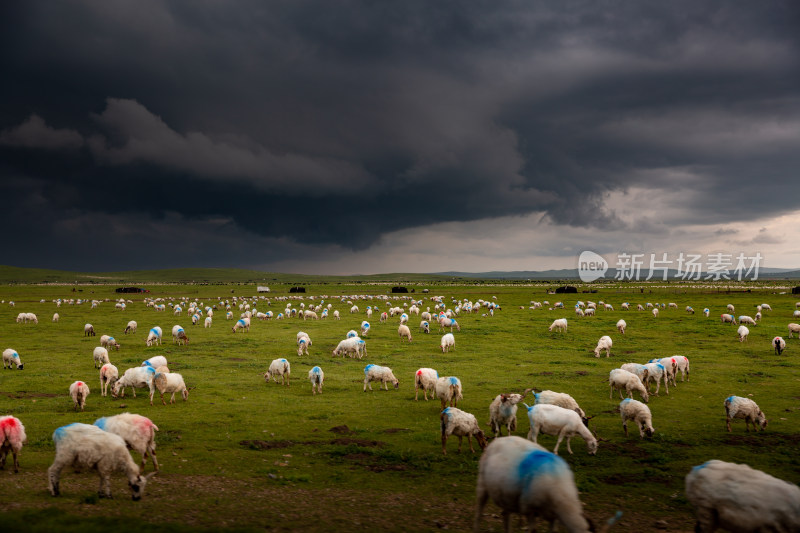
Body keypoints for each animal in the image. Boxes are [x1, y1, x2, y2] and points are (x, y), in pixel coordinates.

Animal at [476, 436, 620, 532]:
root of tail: (498, 440)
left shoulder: (553, 515)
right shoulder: (529, 509)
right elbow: (533, 530)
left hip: (507, 494)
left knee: (506, 516)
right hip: (482, 485)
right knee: (479, 512)